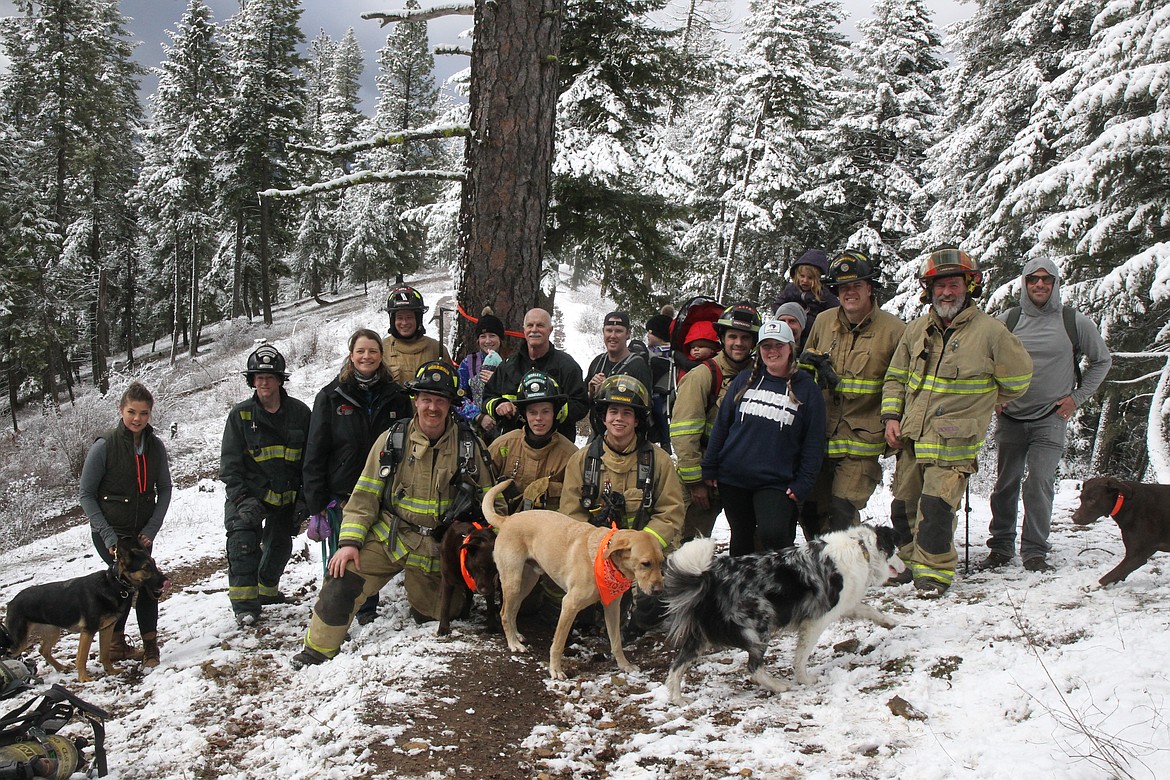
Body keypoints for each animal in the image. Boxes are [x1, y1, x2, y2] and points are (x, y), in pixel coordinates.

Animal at [2, 537, 168, 682]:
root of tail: (11, 602)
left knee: (43, 650)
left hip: (53, 632)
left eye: (153, 563)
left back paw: (60, 667)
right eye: (146, 567)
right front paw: (83, 678)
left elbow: (104, 653)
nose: (165, 581)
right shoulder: (88, 631)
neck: (114, 583)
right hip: (20, 642)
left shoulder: (107, 628)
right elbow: (81, 658)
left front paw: (111, 671)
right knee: (8, 654)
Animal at [482, 479, 664, 678]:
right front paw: (555, 670)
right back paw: (513, 643)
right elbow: (558, 644)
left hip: (527, 582)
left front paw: (625, 665)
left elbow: (616, 642)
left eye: (661, 562)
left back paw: (516, 636)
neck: (603, 560)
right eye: (645, 563)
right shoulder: (569, 605)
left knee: (513, 610)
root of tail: (507, 519)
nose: (658, 591)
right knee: (504, 613)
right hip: (513, 581)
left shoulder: (612, 607)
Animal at [659, 528, 903, 706]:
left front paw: (889, 622)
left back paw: (678, 699)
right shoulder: (816, 620)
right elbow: (802, 655)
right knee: (753, 668)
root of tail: (710, 579)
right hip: (761, 623)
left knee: (676, 667)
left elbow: (868, 609)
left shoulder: (843, 604)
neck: (862, 549)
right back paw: (778, 685)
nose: (903, 567)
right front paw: (804, 679)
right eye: (897, 551)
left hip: (701, 638)